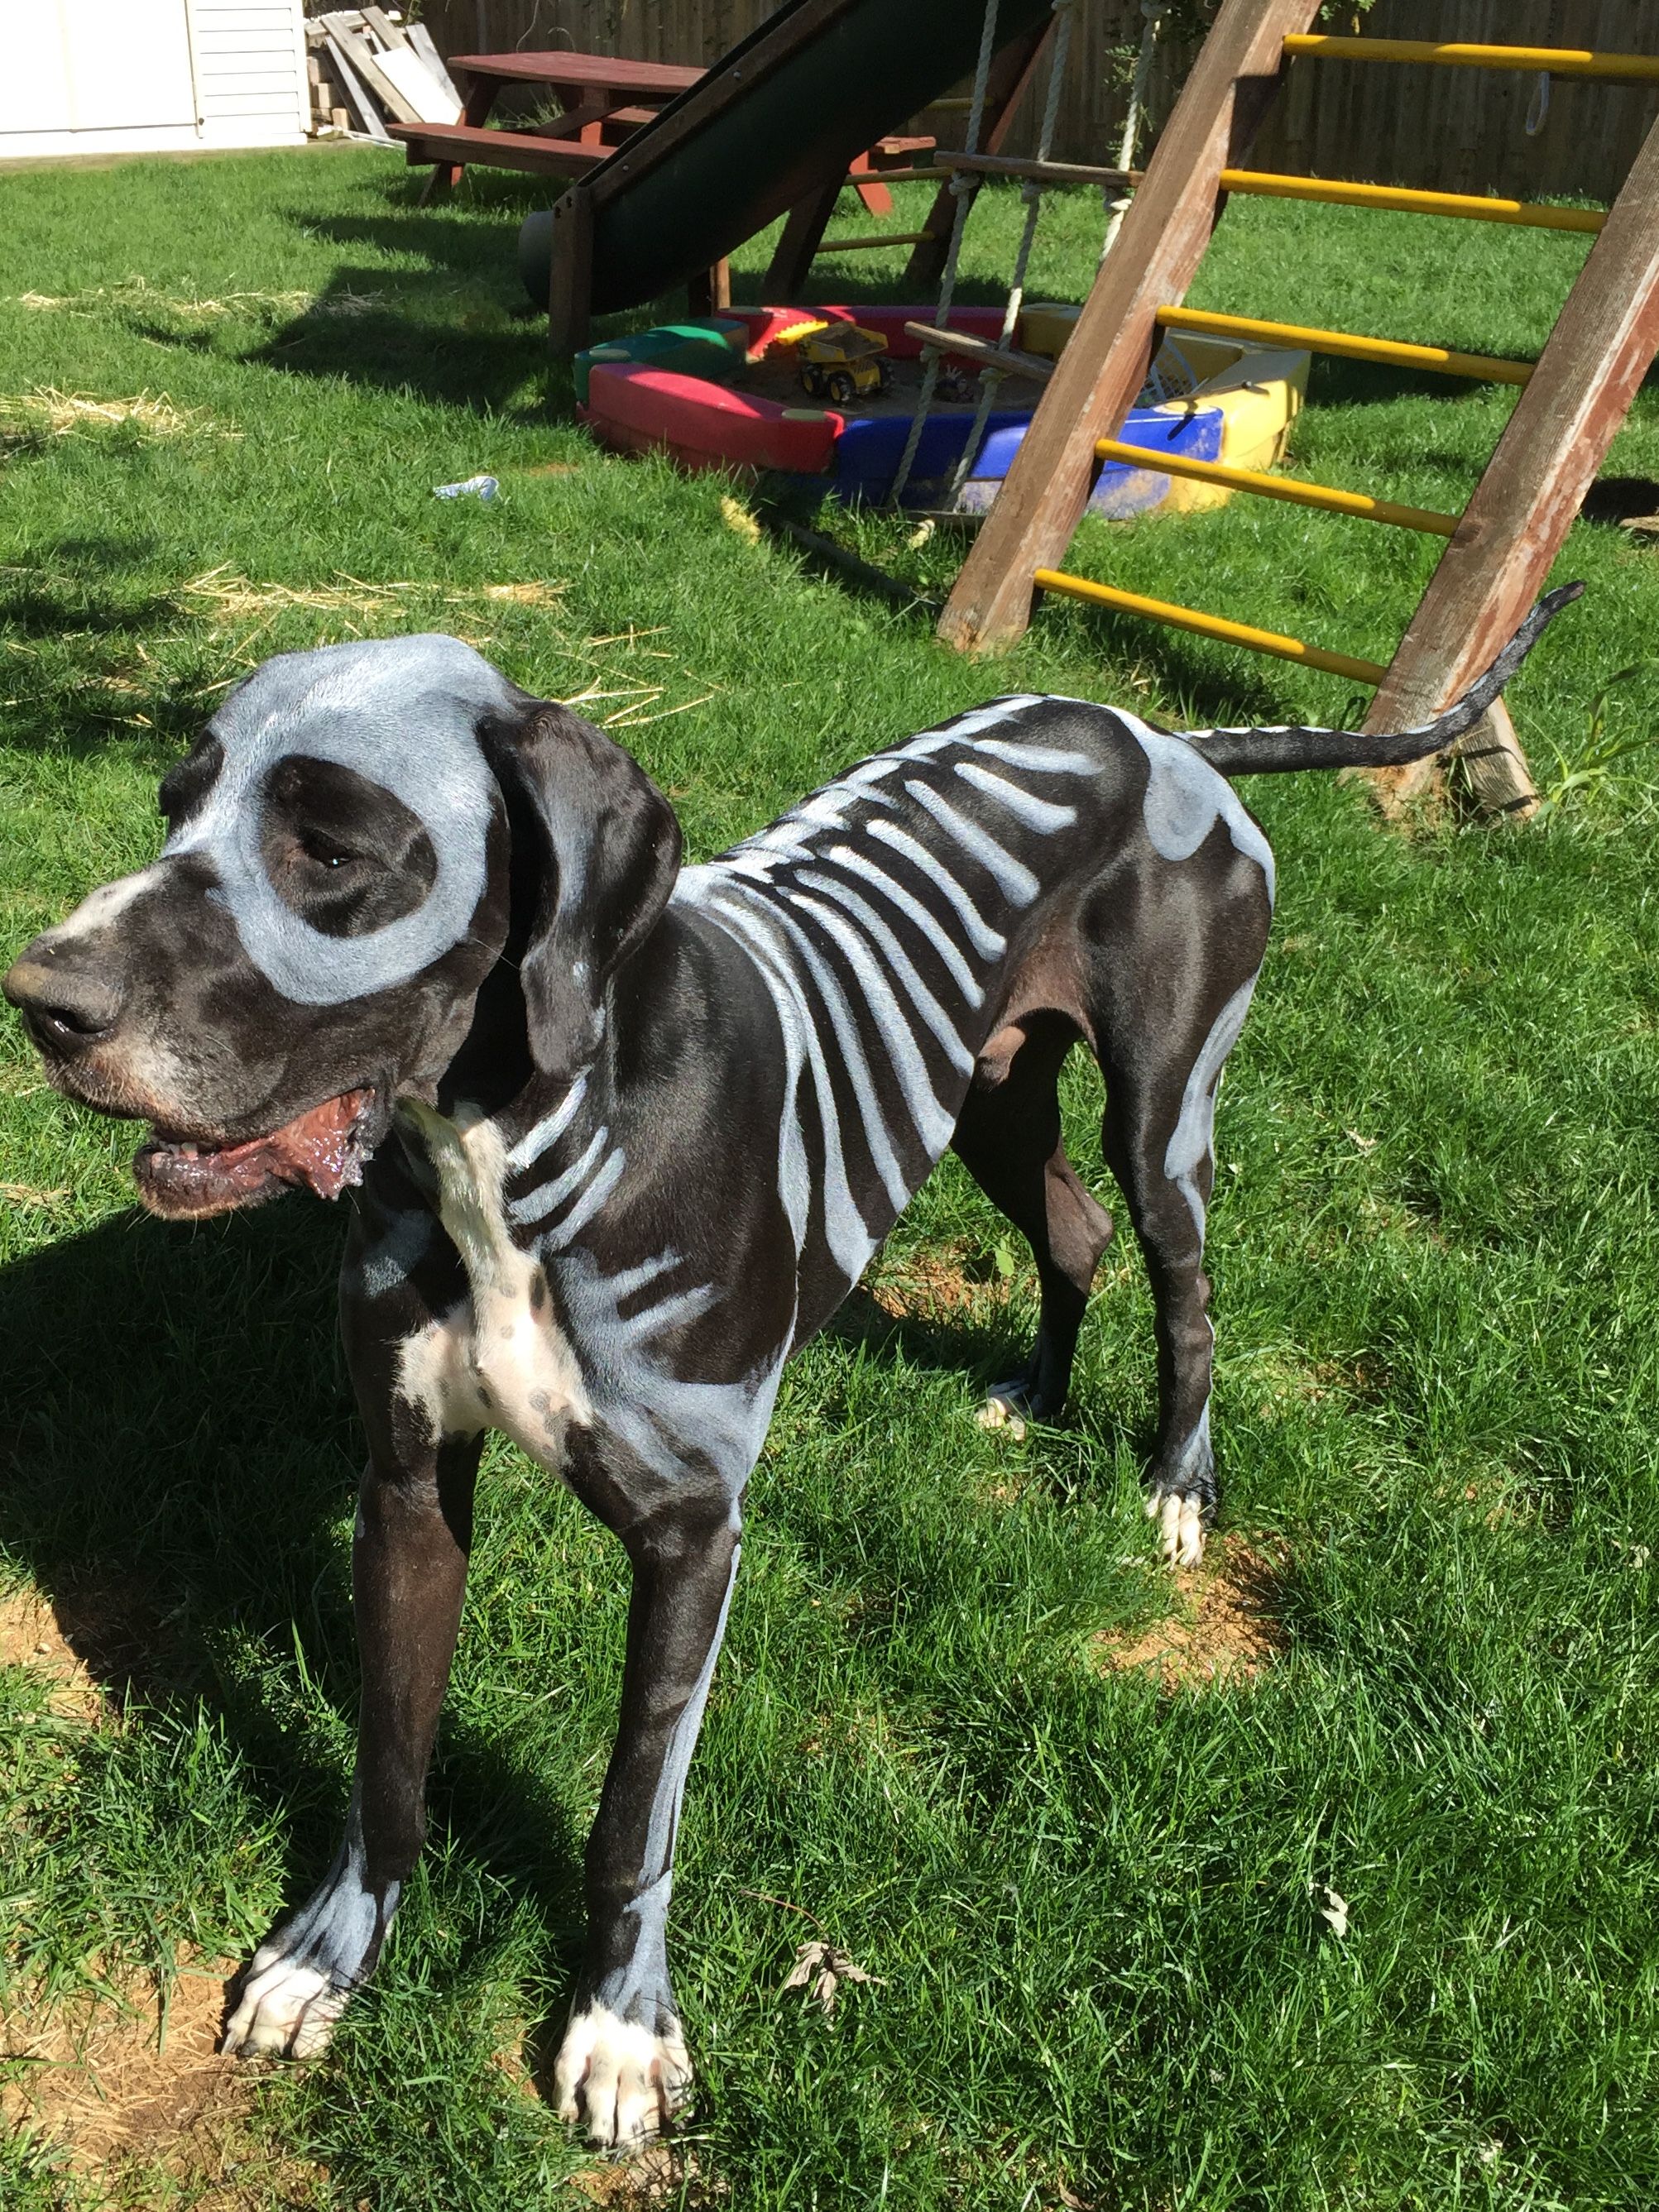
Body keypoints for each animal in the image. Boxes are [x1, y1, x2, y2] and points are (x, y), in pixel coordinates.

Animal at [0, 583, 1575, 2141]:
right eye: (173, 807)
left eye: (328, 846)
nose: (41, 998)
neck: (524, 1151)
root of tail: (1158, 734)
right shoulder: (404, 1483)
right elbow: (389, 1757)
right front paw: (334, 1955)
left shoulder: (692, 1538)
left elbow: (633, 1812)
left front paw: (622, 2028)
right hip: (993, 1091)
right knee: (1068, 1232)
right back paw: (1039, 1392)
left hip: (1163, 1113)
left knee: (1182, 1287)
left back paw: (1178, 1481)